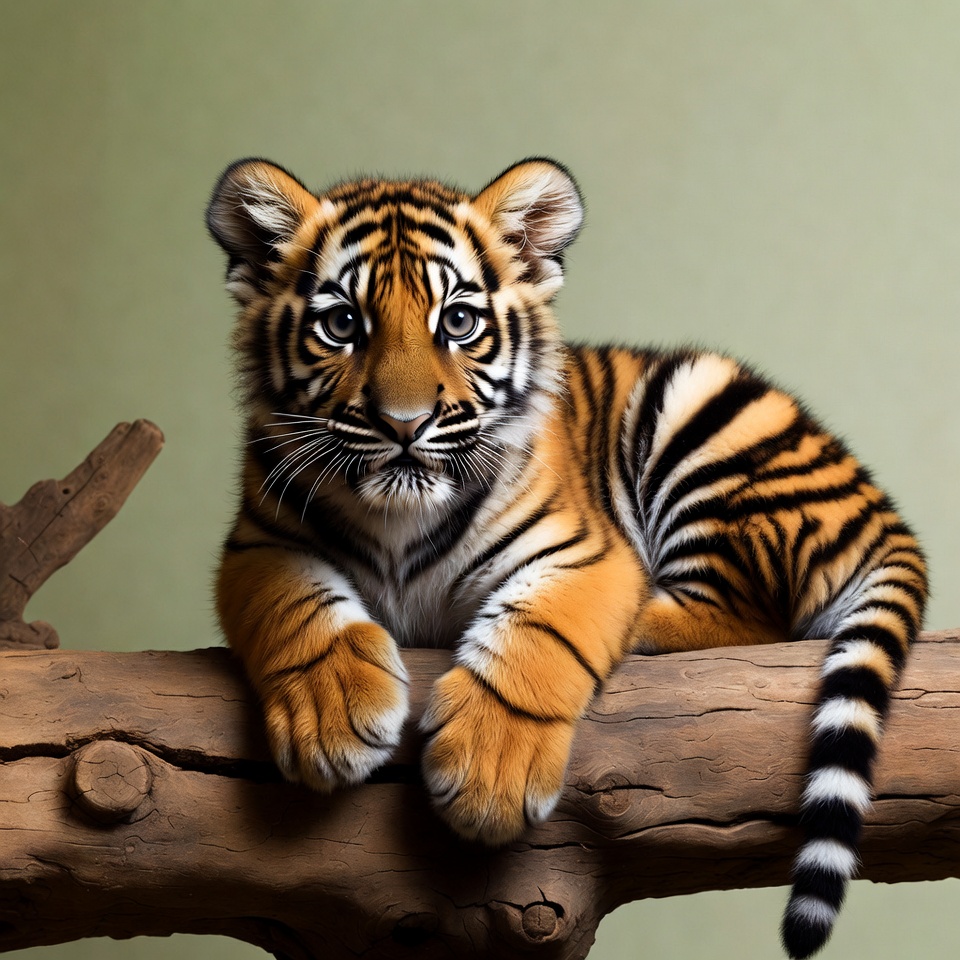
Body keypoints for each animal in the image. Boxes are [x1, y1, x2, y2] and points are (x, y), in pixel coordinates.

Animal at [206, 156, 926, 959]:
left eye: (458, 322)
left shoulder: (585, 553)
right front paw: (332, 719)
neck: (399, 517)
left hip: (701, 412)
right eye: (341, 326)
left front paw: (489, 774)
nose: (404, 424)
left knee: (748, 610)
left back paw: (643, 622)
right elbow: (298, 606)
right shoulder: (261, 543)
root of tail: (880, 503)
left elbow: (537, 631)